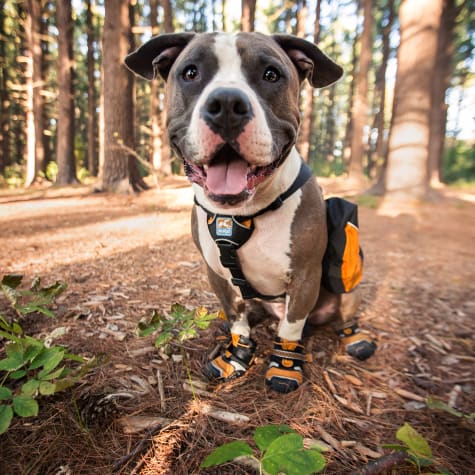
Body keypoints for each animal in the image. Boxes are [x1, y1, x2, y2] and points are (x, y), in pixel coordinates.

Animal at [124, 30, 378, 394]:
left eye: (271, 74)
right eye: (190, 72)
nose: (227, 105)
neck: (247, 211)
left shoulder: (305, 277)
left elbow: (291, 329)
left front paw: (284, 365)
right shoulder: (217, 275)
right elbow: (237, 319)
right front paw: (237, 354)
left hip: (347, 289)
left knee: (344, 314)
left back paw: (354, 338)